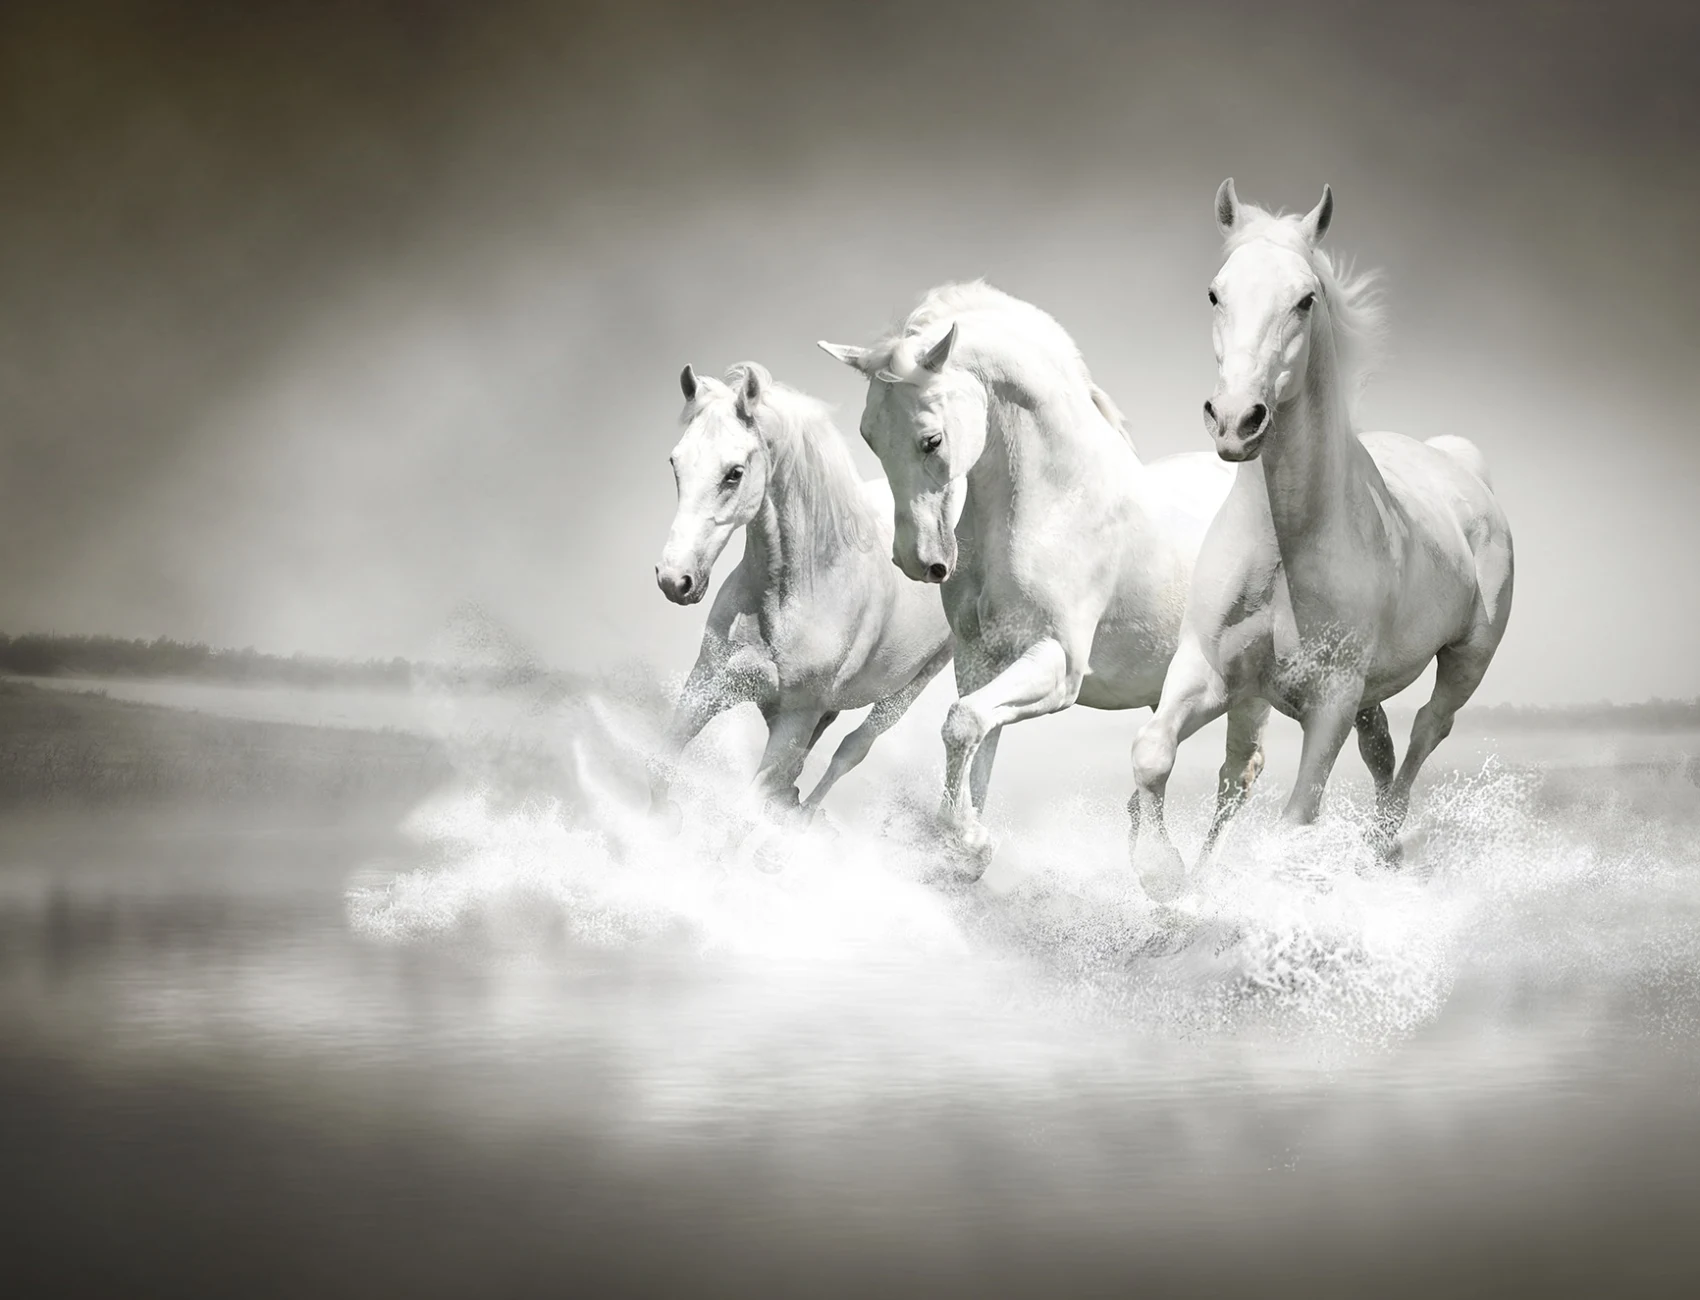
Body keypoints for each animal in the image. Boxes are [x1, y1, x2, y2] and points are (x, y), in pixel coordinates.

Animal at [648, 361, 953, 830]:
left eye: (734, 472)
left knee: (851, 750)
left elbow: (744, 814)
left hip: (911, 687)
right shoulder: (708, 683)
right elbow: (660, 768)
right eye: (675, 463)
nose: (674, 579)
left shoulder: (794, 720)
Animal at [819, 282, 1271, 872]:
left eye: (932, 440)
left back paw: (1186, 882)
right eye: (869, 437)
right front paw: (966, 844)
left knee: (1238, 775)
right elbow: (976, 741)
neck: (1055, 501)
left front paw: (969, 840)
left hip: (1250, 692)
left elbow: (962, 724)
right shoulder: (981, 661)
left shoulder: (1058, 664)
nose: (918, 562)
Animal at [1128, 181, 1515, 891]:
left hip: (1466, 660)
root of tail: (1463, 468)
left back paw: (1382, 846)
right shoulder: (1209, 671)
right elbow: (1153, 753)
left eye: (1305, 299)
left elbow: (1296, 819)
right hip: (1362, 693)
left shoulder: (1330, 700)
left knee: (1428, 731)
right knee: (1377, 747)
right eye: (1215, 293)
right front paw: (1165, 876)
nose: (1236, 420)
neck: (1286, 547)